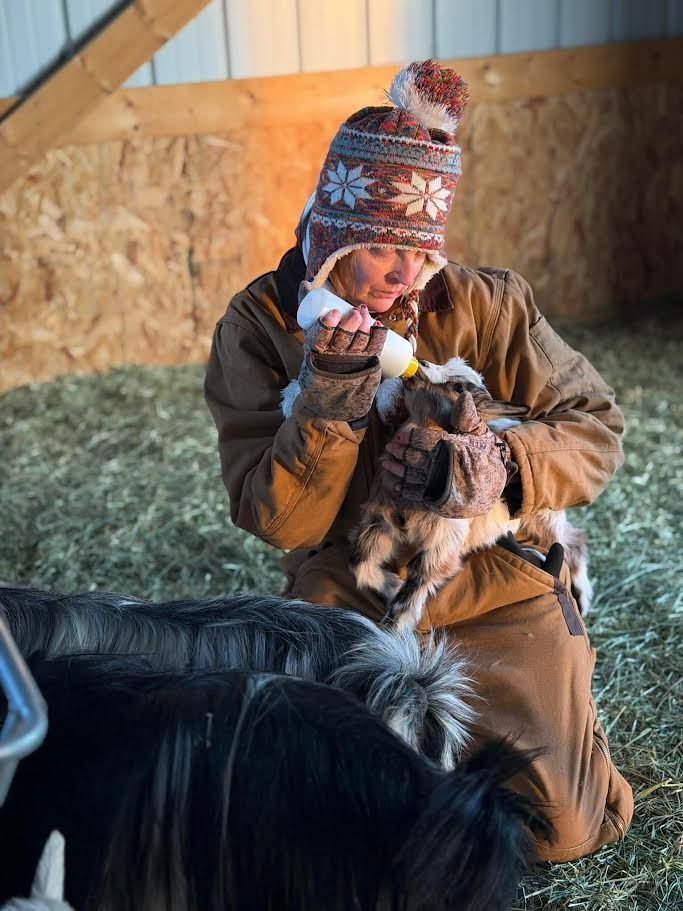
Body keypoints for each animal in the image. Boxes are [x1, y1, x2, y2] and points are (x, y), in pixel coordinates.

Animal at [350, 357, 593, 628]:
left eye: (458, 388)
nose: (421, 362)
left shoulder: (443, 545)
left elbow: (410, 595)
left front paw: (395, 629)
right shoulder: (380, 521)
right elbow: (359, 565)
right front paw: (392, 585)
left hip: (544, 515)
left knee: (573, 540)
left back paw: (583, 599)